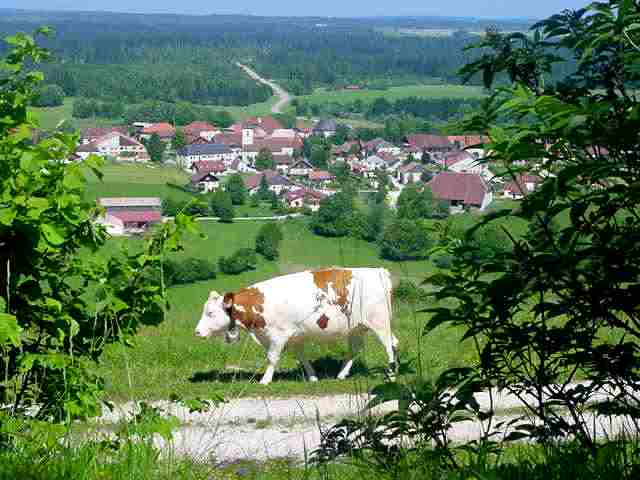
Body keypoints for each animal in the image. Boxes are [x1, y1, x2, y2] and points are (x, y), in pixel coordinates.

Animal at [192, 268, 398, 384]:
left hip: (380, 323)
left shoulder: (277, 336)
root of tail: (379, 271)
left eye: (210, 313)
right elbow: (301, 357)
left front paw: (265, 380)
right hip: (357, 328)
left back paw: (391, 374)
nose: (197, 332)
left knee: (388, 345)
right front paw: (312, 377)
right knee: (361, 348)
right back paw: (342, 374)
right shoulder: (294, 336)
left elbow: (272, 358)